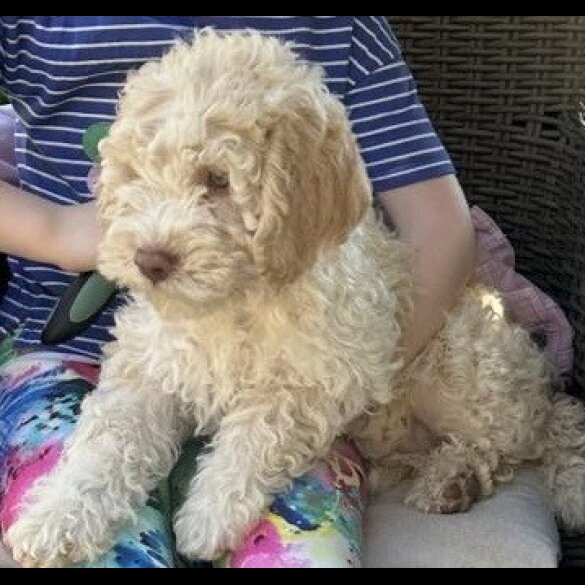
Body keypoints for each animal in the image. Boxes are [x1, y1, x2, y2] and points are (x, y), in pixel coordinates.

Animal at [6, 30, 584, 564]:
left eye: (217, 180)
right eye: (135, 175)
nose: (150, 260)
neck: (231, 300)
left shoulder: (332, 368)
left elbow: (262, 426)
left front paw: (210, 513)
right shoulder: (148, 369)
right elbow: (108, 442)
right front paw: (57, 515)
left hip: (455, 365)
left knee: (529, 430)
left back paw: (458, 476)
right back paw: (442, 477)